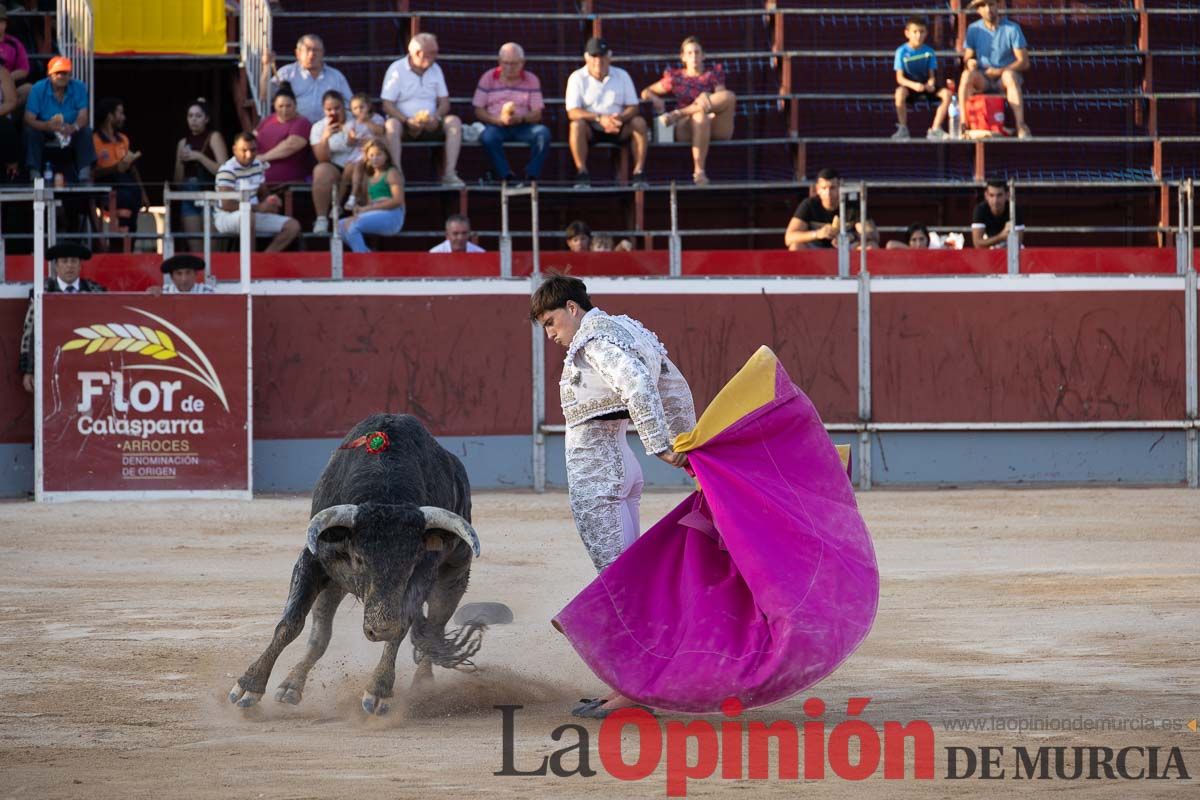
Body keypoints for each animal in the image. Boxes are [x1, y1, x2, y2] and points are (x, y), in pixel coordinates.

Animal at [226, 412, 480, 714]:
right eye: (359, 558)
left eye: (411, 563)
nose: (380, 629)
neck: (386, 495)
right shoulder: (313, 560)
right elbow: (290, 623)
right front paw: (249, 685)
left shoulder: (423, 575)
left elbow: (402, 628)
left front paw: (379, 690)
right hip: (334, 584)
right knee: (319, 636)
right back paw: (290, 686)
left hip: (455, 577)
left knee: (433, 629)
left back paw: (423, 685)